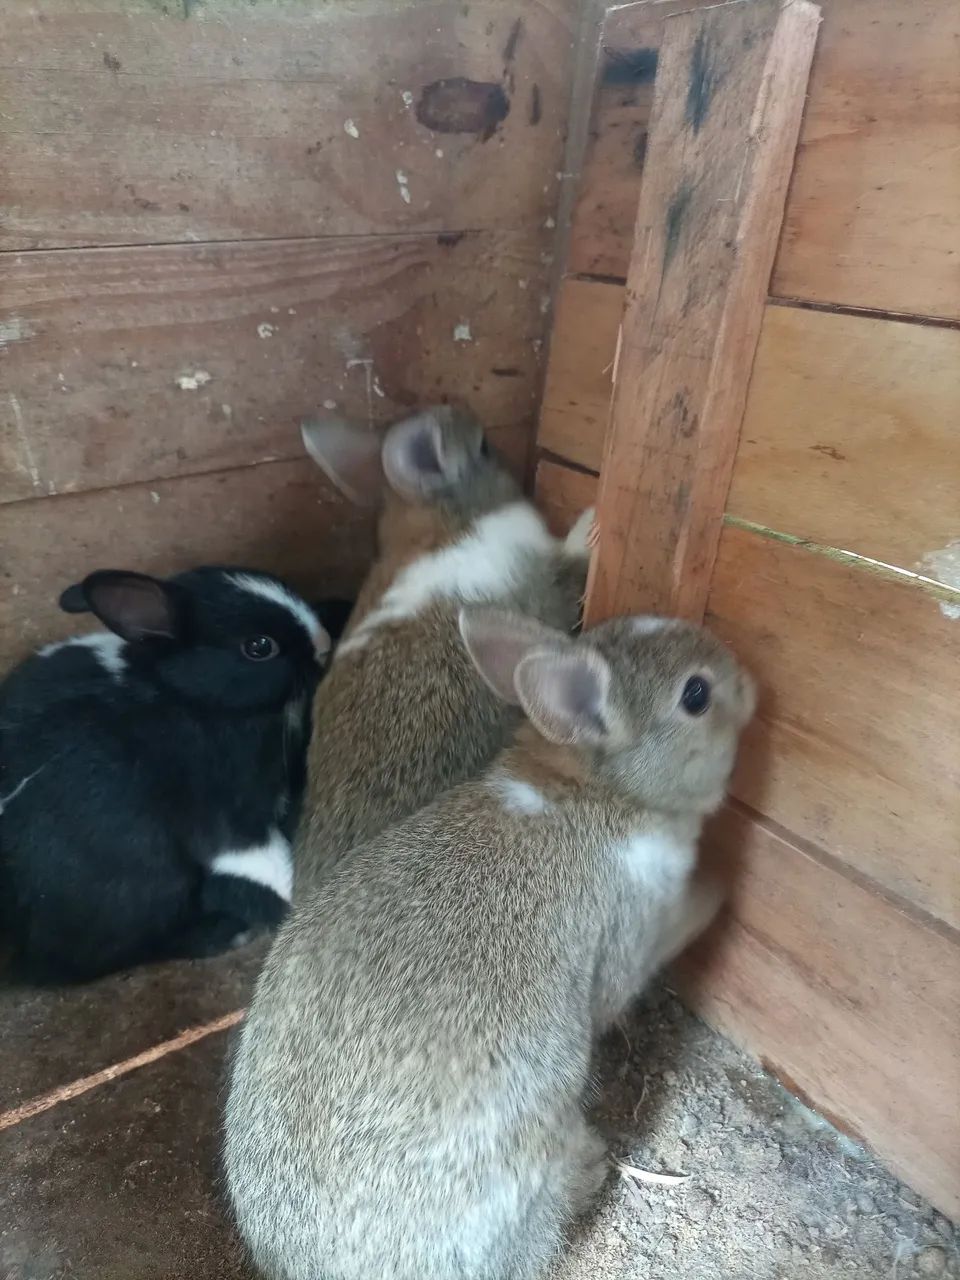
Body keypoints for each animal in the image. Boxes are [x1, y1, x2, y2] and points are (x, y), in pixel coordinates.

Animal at [0, 566, 334, 983]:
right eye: (259, 646)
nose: (325, 645)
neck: (187, 697)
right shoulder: (228, 819)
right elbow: (269, 865)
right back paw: (223, 933)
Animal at [223, 608, 756, 1280]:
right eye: (696, 695)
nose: (752, 684)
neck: (602, 790)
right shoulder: (630, 936)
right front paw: (719, 891)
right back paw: (592, 1163)